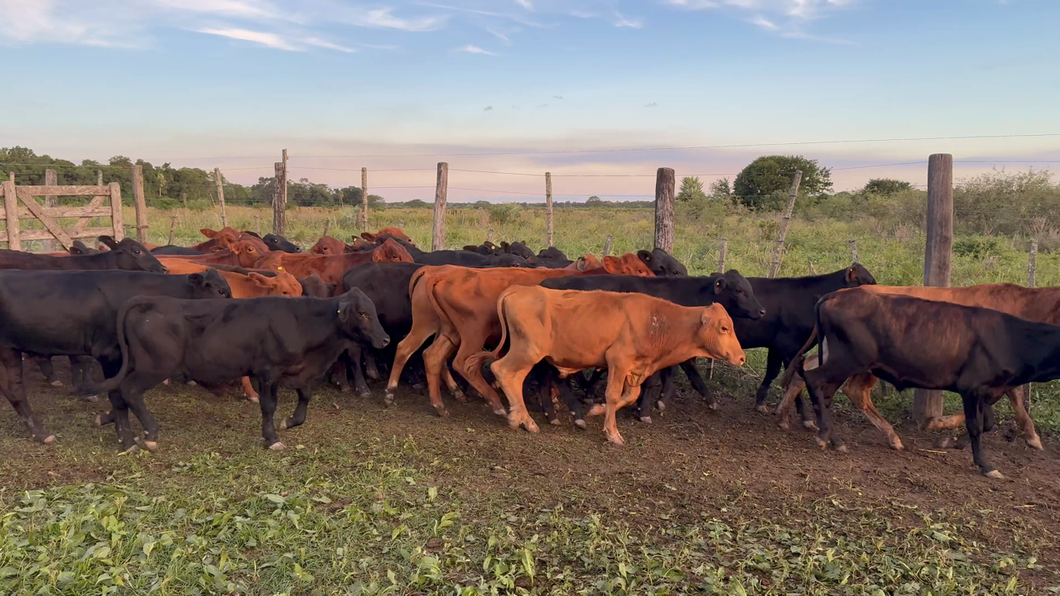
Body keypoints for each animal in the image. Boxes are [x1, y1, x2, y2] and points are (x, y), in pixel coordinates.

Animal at [0, 269, 231, 444]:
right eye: (221, 291)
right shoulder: (110, 353)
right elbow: (118, 395)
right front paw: (127, 440)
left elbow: (120, 393)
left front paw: (107, 419)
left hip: (9, 351)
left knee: (14, 391)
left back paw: (40, 433)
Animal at [83, 290, 389, 450]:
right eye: (362, 313)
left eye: (374, 311)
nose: (385, 340)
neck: (301, 321)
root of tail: (150, 301)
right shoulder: (267, 371)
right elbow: (268, 406)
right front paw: (271, 437)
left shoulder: (298, 371)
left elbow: (305, 398)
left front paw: (290, 421)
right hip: (155, 366)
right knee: (129, 391)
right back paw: (149, 434)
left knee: (117, 395)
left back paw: (125, 437)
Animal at [384, 254, 655, 419]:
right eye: (640, 269)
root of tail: (438, 272)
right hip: (464, 331)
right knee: (439, 358)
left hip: (447, 330)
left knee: (432, 356)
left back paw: (443, 402)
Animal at [468, 289, 745, 443]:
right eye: (724, 328)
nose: (742, 358)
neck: (657, 321)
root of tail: (518, 290)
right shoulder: (618, 360)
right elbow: (613, 395)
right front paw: (612, 433)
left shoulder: (634, 370)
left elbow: (629, 396)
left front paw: (595, 411)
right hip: (529, 351)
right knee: (504, 372)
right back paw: (520, 418)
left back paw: (525, 418)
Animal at [788, 288, 1060, 479]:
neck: (1012, 338)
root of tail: (834, 295)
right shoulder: (971, 388)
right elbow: (976, 426)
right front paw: (985, 465)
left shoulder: (989, 390)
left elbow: (987, 424)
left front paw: (953, 442)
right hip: (847, 360)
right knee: (815, 381)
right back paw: (824, 435)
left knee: (826, 390)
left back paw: (837, 439)